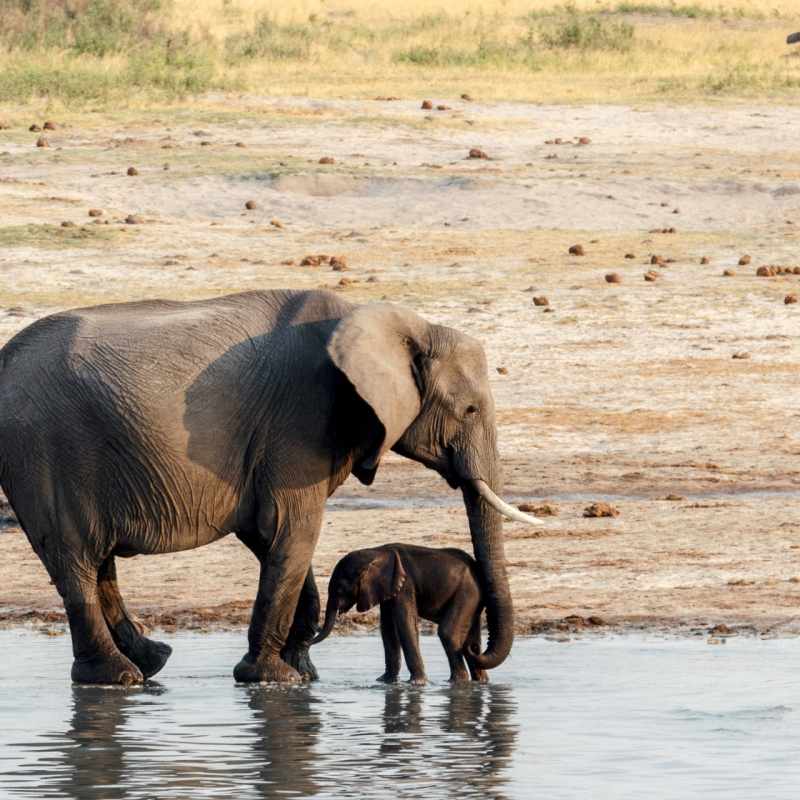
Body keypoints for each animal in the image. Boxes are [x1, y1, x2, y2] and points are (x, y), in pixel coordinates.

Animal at [312, 544, 490, 684]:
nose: (309, 639)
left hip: (467, 593)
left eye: (340, 589)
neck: (376, 552)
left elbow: (405, 622)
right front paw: (385, 681)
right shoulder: (386, 588)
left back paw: (457, 681)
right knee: (471, 641)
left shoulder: (405, 585)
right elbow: (387, 627)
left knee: (448, 633)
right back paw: (480, 681)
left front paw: (417, 683)